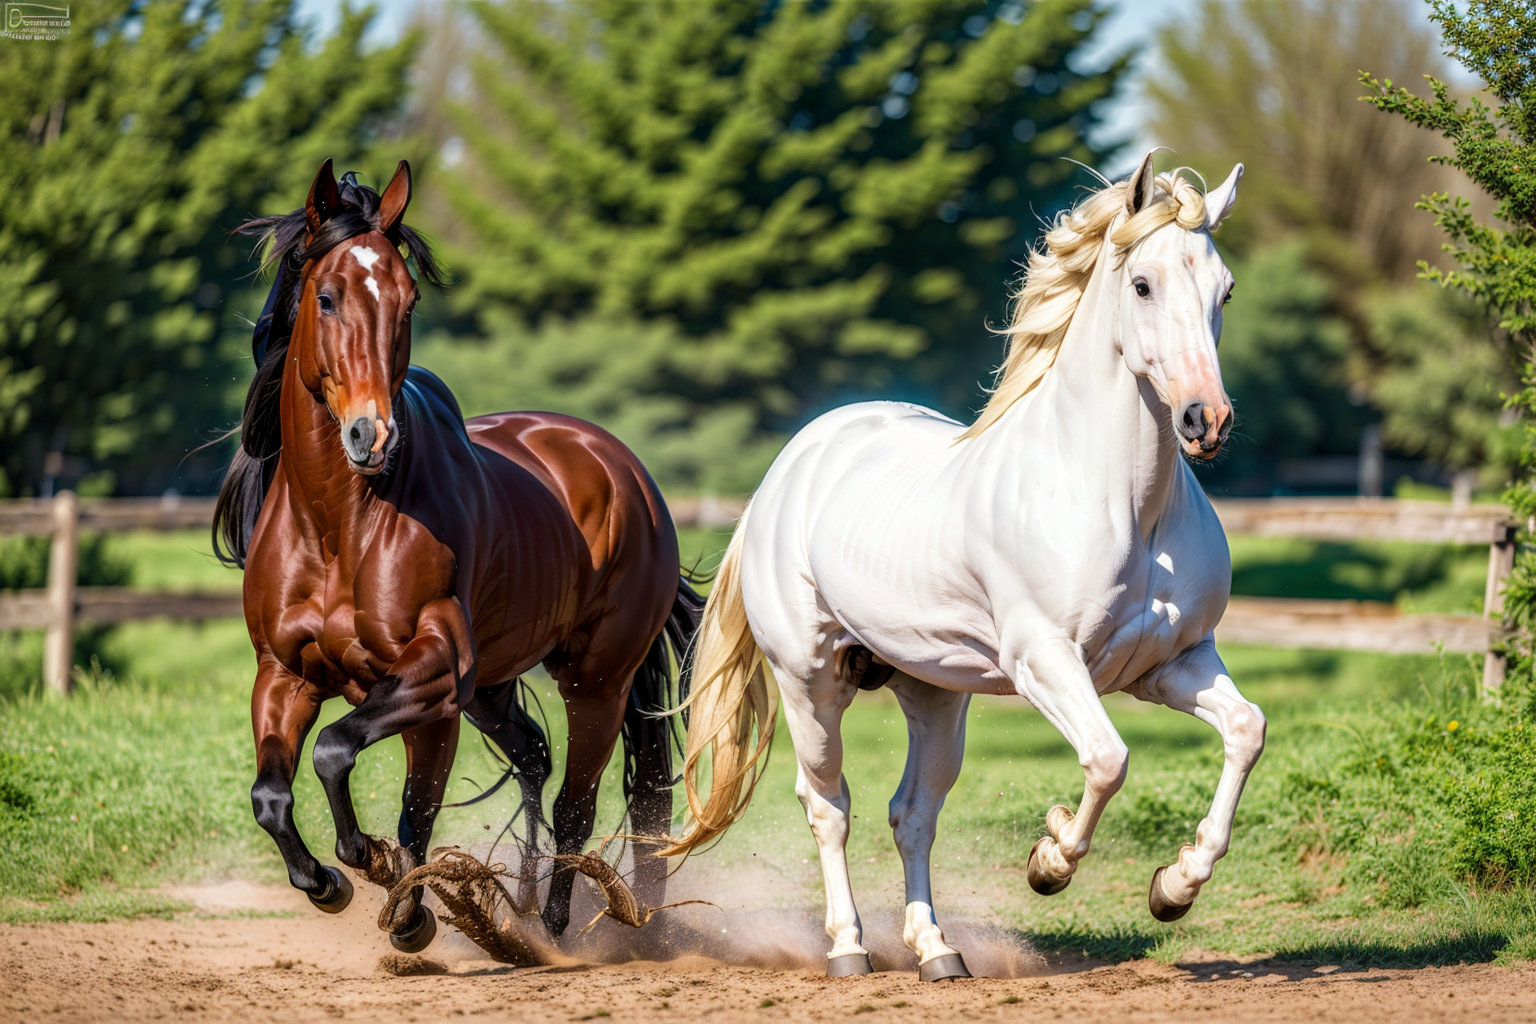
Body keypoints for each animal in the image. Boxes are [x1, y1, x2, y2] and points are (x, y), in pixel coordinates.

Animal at [214, 158, 700, 952]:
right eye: (325, 296)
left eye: (408, 300)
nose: (371, 435)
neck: (340, 524)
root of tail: (627, 473)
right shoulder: (285, 675)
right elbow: (272, 795)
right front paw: (328, 882)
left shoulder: (435, 675)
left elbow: (365, 776)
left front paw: (396, 896)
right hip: (494, 688)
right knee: (534, 757)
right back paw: (525, 906)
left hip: (594, 680)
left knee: (581, 800)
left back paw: (558, 926)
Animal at [660, 153, 1264, 981]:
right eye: (1143, 284)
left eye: (1225, 288)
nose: (1208, 420)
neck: (1124, 507)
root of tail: (790, 469)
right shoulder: (1046, 662)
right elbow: (1108, 760)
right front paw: (1050, 861)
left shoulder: (1173, 662)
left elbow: (1246, 731)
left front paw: (1174, 887)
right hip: (810, 681)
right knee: (829, 806)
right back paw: (848, 949)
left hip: (935, 694)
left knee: (912, 814)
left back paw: (937, 950)